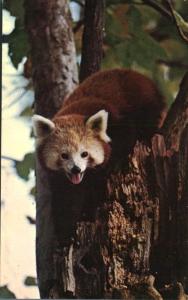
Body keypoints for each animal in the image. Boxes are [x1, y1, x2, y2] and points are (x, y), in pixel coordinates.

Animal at [33, 69, 165, 184]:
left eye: (84, 154)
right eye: (64, 155)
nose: (76, 169)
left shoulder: (116, 118)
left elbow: (126, 136)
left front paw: (113, 163)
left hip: (146, 101)